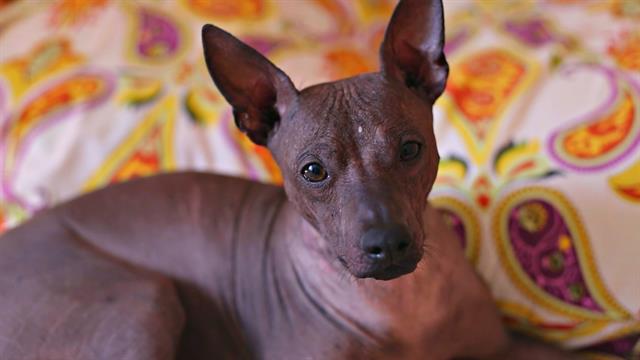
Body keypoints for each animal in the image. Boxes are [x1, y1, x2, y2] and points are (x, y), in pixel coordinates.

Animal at [0, 0, 580, 360]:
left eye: (410, 149)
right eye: (313, 171)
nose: (387, 244)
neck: (401, 310)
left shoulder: (506, 349)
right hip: (143, 299)